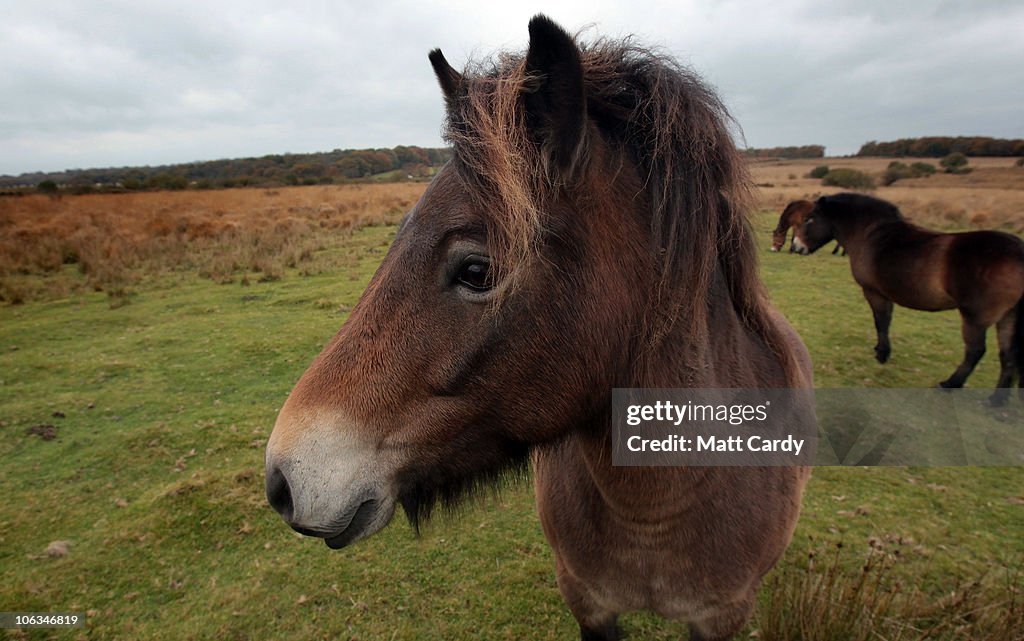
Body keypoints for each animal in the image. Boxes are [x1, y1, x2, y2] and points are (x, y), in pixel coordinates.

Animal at [794, 192, 1024, 407]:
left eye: (810, 219)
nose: (796, 247)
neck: (870, 233)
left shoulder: (874, 292)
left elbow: (881, 322)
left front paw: (882, 354)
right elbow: (886, 321)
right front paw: (881, 350)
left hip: (975, 318)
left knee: (975, 352)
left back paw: (950, 384)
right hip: (1008, 316)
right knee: (1008, 356)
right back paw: (996, 400)